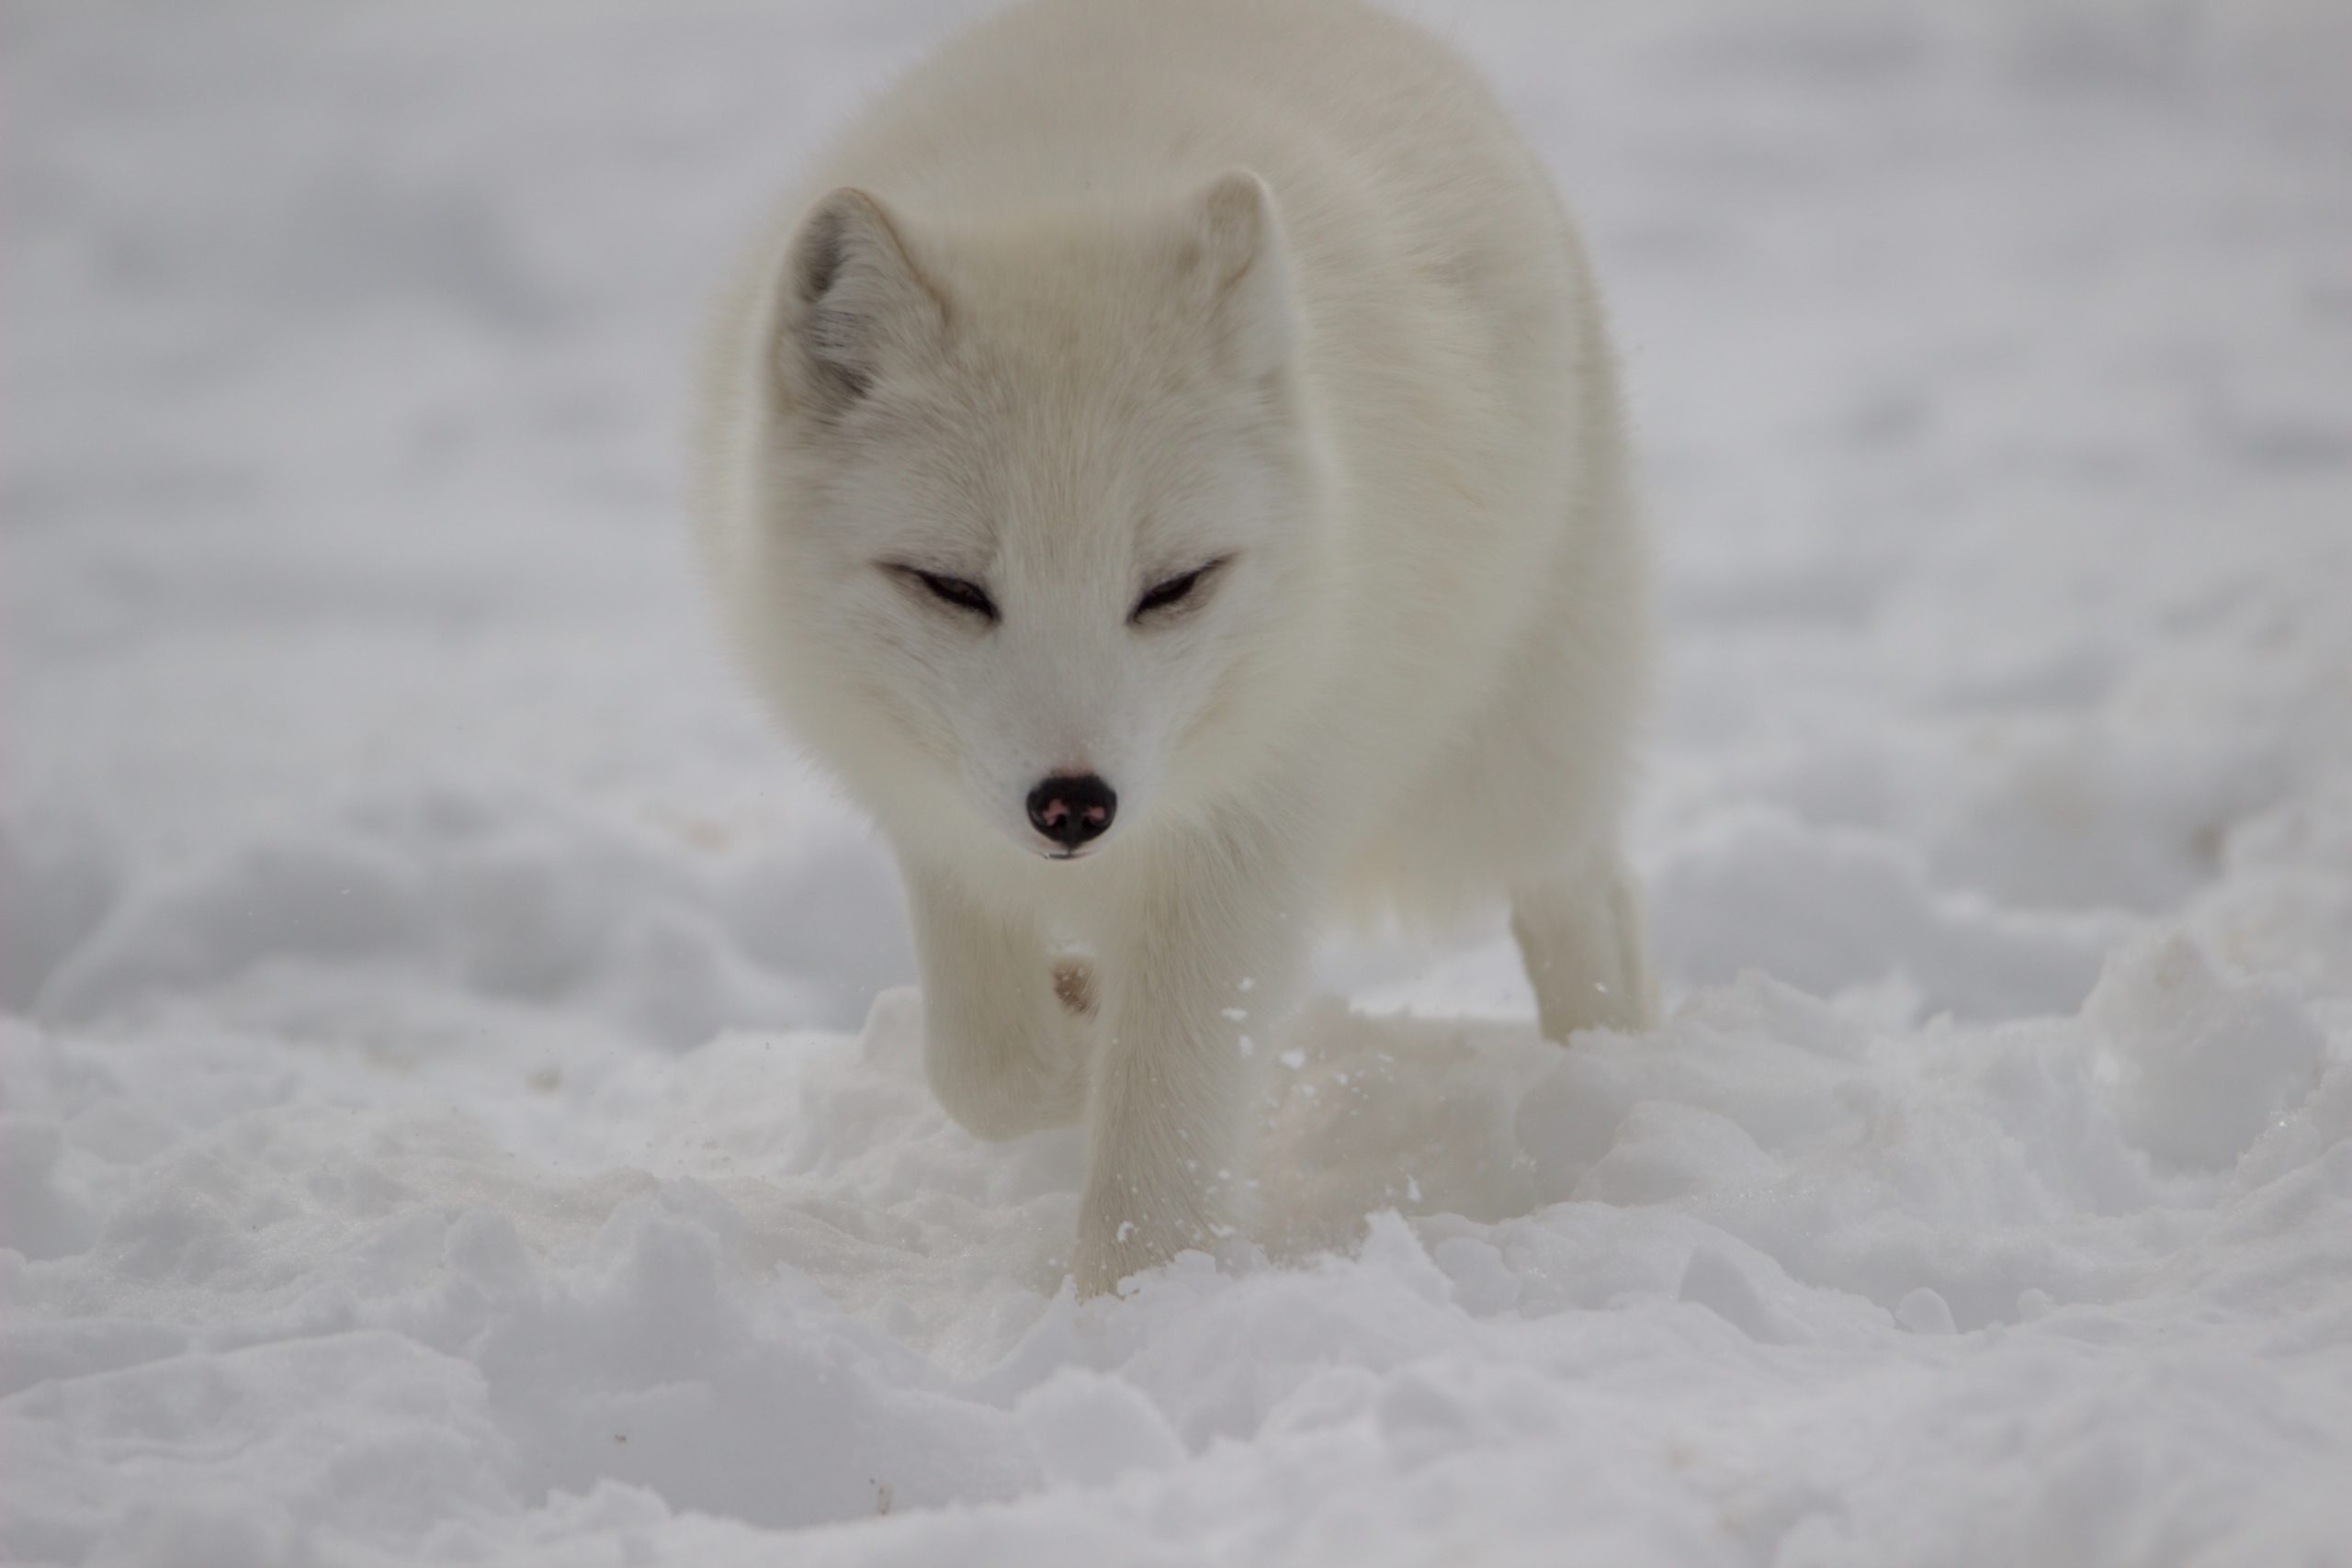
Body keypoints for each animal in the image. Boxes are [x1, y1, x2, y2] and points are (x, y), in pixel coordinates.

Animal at [691, 0, 1656, 1297]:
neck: (1059, 177)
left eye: (1172, 589)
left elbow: (1164, 1108)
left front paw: (1133, 1304)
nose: (1074, 805)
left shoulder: (1257, 823)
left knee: (1580, 885)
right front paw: (1075, 1017)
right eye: (951, 588)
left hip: (1506, 749)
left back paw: (1608, 1071)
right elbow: (987, 1069)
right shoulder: (939, 815)